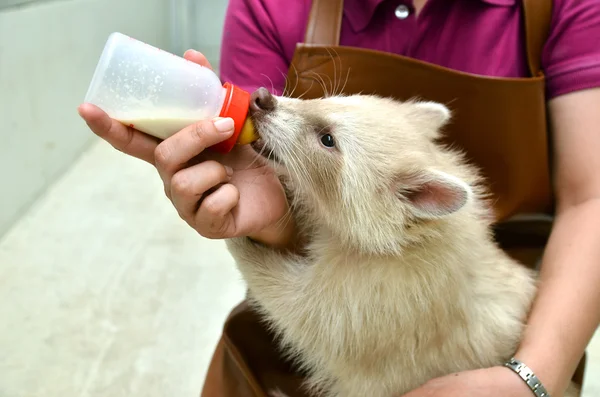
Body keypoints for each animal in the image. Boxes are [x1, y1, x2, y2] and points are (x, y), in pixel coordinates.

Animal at [224, 87, 576, 396]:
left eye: (328, 140)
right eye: (329, 99)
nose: (260, 98)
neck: (416, 234)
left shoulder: (380, 302)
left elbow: (298, 308)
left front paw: (243, 249)